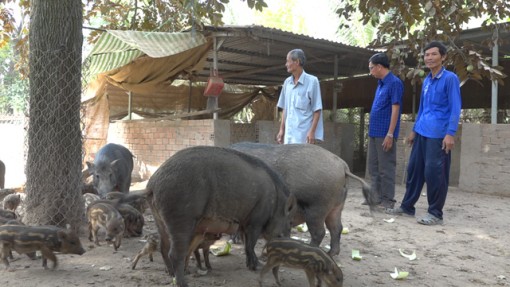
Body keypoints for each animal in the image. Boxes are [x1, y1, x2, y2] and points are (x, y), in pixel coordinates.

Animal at [145, 147, 296, 286]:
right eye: (289, 223)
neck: (276, 203)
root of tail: (153, 183)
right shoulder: (256, 221)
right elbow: (251, 244)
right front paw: (256, 267)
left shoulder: (244, 223)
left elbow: (247, 245)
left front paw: (251, 265)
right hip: (181, 217)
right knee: (175, 253)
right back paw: (183, 283)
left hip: (159, 219)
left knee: (163, 247)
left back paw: (170, 273)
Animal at [231, 143, 378, 258]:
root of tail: (343, 166)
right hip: (336, 207)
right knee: (336, 228)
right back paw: (331, 254)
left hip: (316, 208)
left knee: (320, 232)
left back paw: (311, 249)